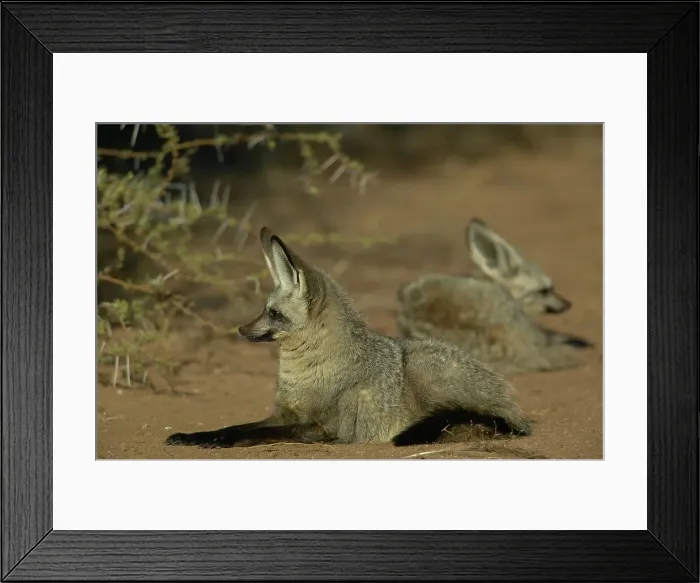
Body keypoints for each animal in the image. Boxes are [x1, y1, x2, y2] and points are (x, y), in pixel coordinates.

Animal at [165, 226, 532, 448]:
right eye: (263, 310)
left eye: (273, 313)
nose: (241, 330)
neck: (306, 373)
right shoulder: (284, 413)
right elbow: (235, 427)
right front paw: (195, 436)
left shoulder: (321, 427)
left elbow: (260, 434)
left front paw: (216, 442)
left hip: (424, 371)